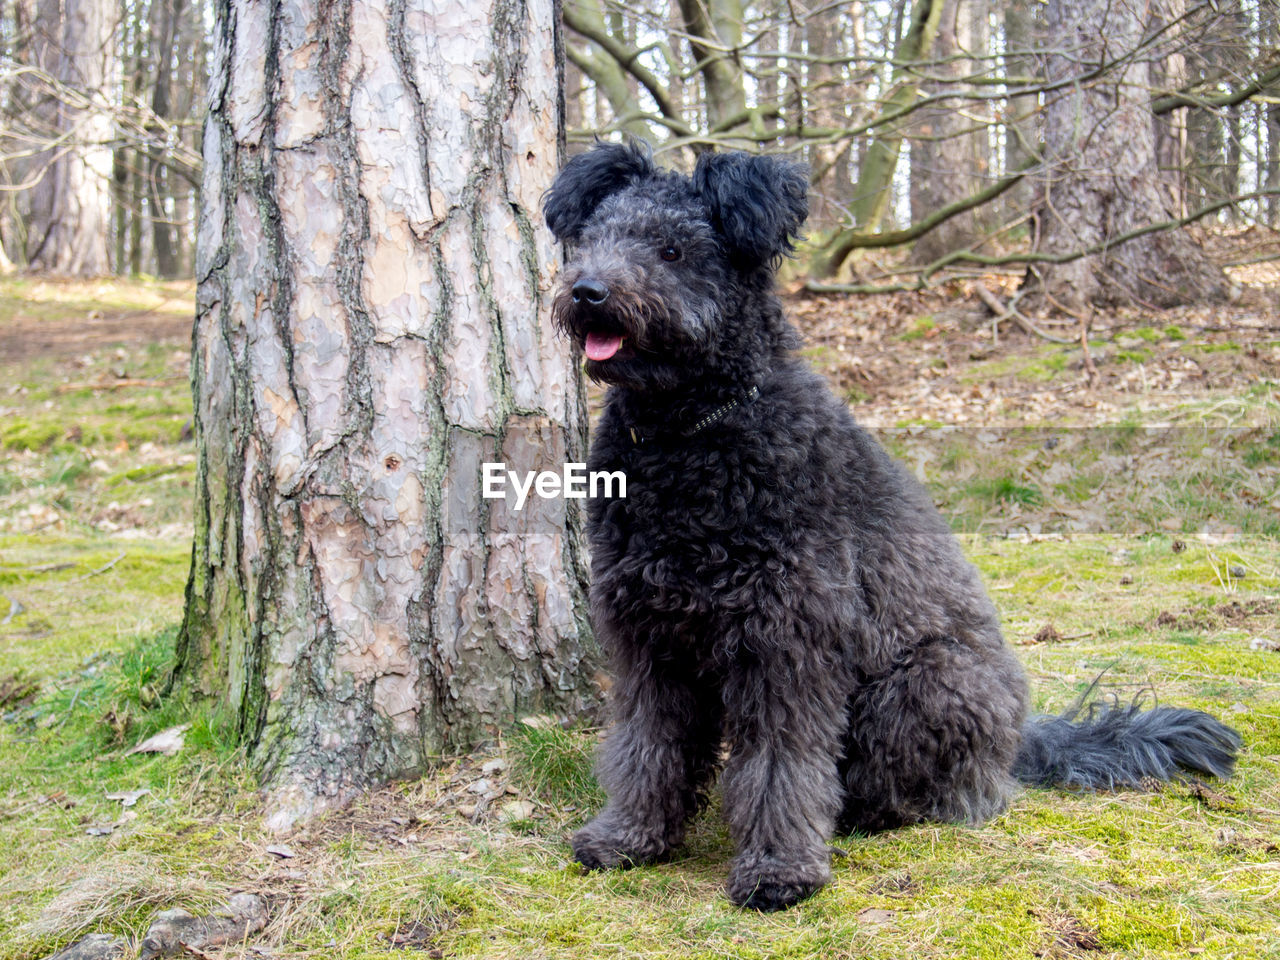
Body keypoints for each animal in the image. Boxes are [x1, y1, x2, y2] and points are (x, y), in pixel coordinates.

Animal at [540, 142, 1239, 911]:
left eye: (671, 249)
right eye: (592, 239)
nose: (588, 292)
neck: (687, 438)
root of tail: (1020, 740)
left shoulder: (788, 640)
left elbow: (782, 761)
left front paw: (779, 868)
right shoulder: (650, 642)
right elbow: (647, 745)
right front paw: (630, 837)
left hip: (919, 683)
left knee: (941, 790)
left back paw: (866, 813)